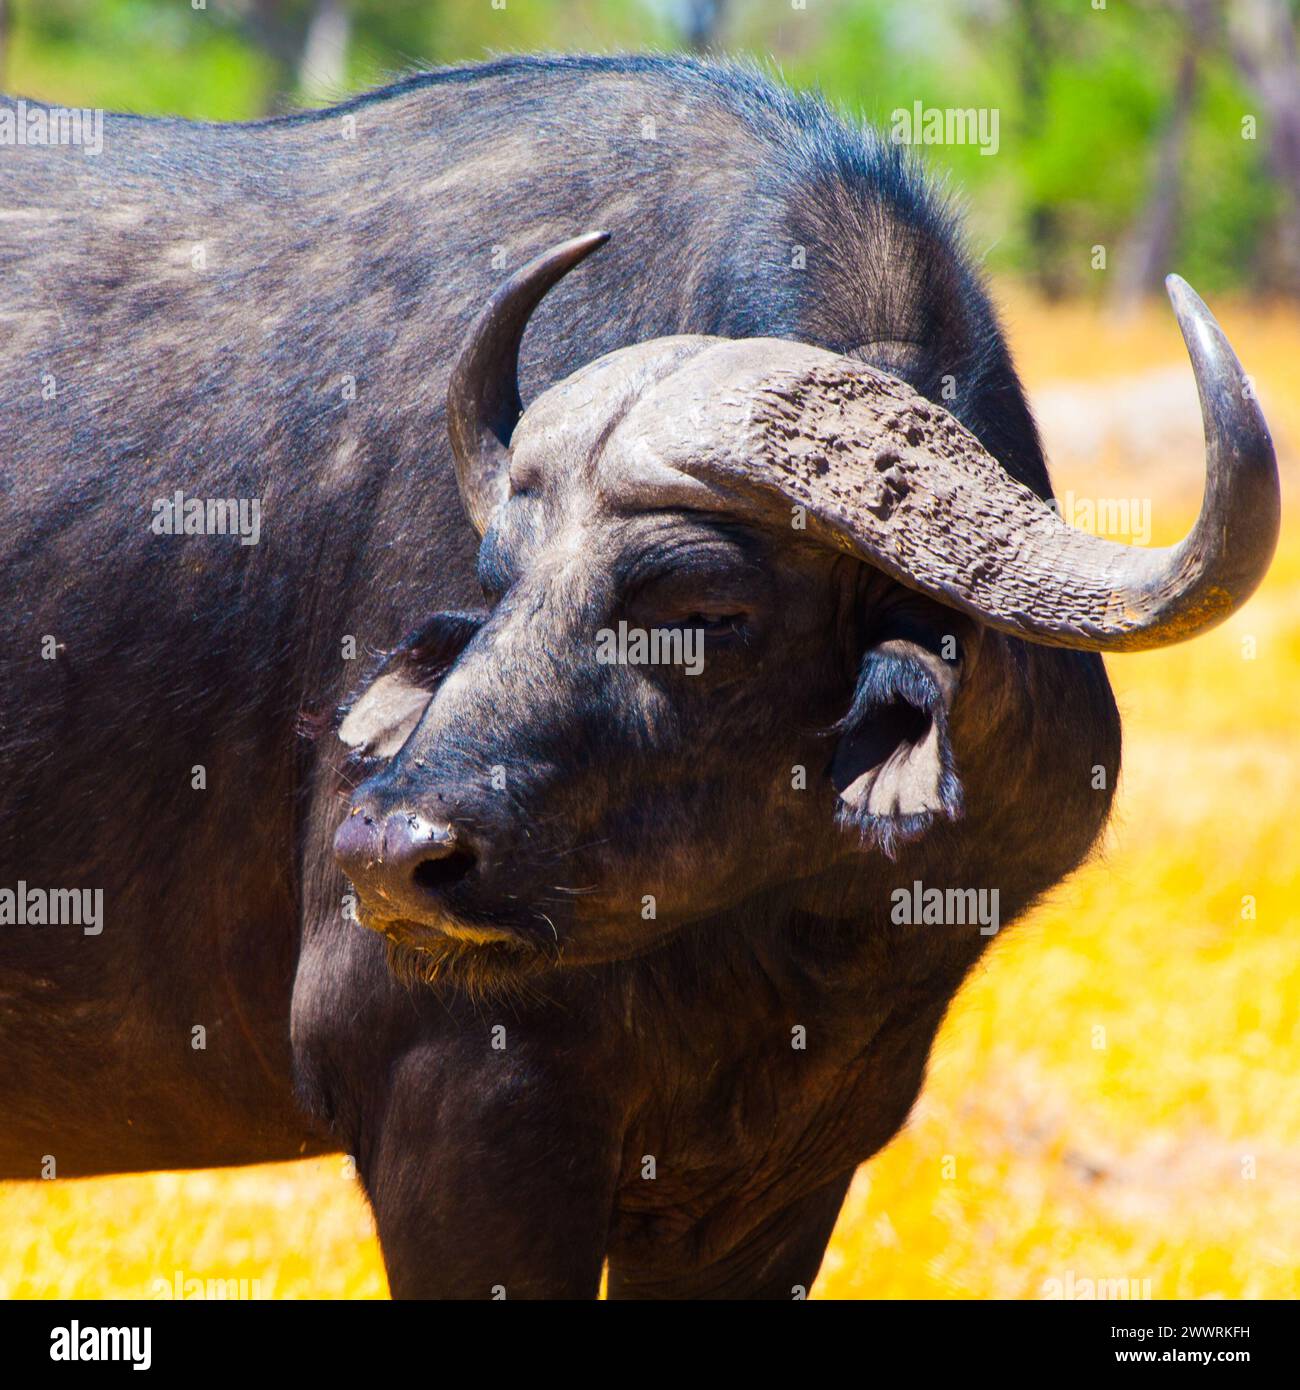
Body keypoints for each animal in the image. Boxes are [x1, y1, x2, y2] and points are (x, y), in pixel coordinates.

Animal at [0, 55, 1279, 1298]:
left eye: (703, 610)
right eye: (497, 578)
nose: (390, 853)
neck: (779, 934)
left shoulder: (788, 1165)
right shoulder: (452, 1102)